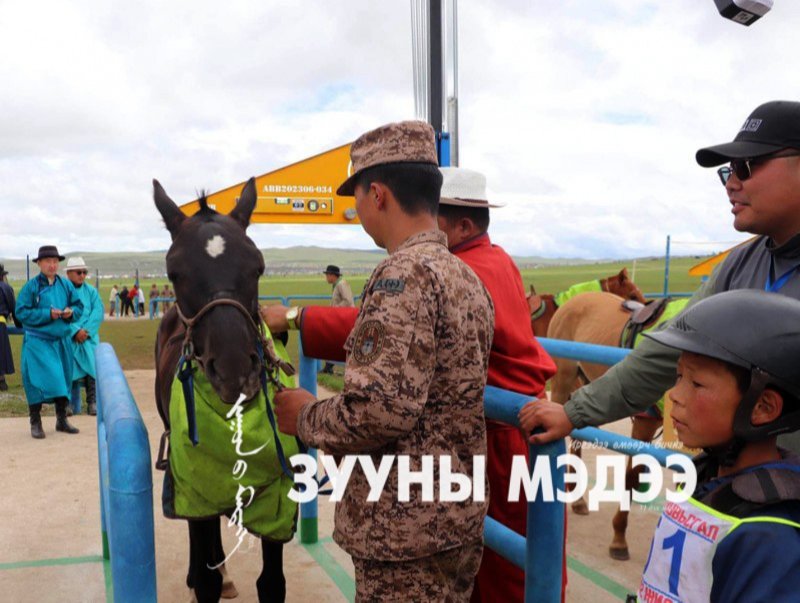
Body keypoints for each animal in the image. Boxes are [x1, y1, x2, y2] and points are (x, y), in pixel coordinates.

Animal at [153, 177, 296, 600]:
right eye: (174, 272)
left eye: (258, 266)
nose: (235, 371)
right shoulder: (194, 483)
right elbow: (206, 579)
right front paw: (205, 575)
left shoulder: (278, 496)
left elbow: (272, 583)